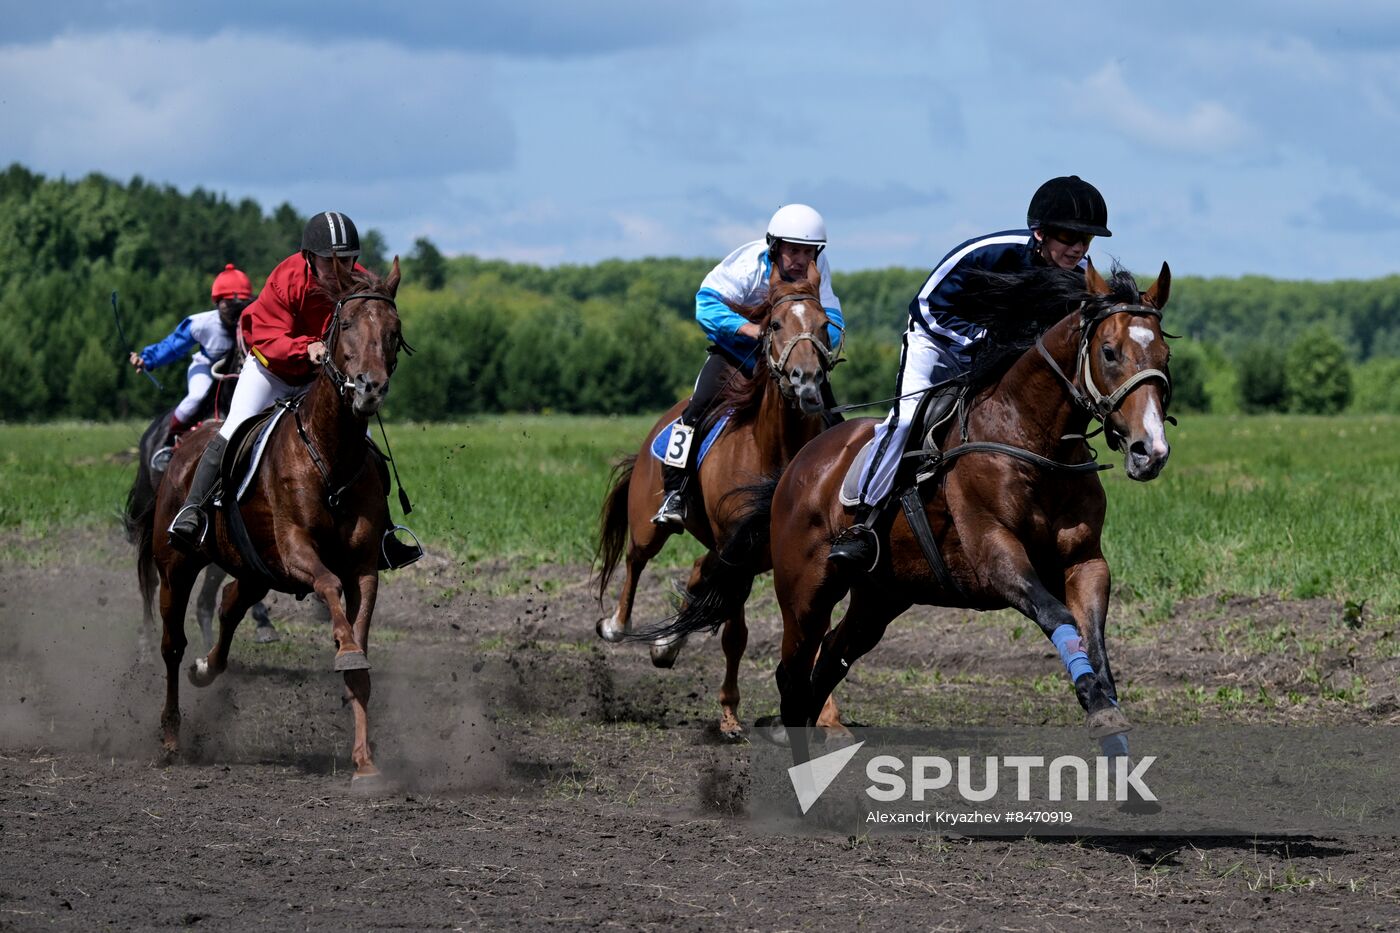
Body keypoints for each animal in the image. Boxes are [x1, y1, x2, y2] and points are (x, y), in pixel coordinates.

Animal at [150, 259, 408, 784]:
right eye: (347, 325)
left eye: (393, 331)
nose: (369, 388)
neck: (330, 454)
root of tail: (186, 447)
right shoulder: (295, 549)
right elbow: (328, 585)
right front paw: (344, 648)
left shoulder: (365, 568)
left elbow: (359, 660)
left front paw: (365, 762)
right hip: (176, 565)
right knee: (172, 644)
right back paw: (170, 736)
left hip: (252, 569)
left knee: (229, 606)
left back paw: (206, 669)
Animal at [590, 257, 840, 739]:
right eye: (774, 323)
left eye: (824, 325)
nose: (806, 382)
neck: (773, 450)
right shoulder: (736, 553)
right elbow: (735, 635)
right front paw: (729, 715)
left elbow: (814, 635)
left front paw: (827, 716)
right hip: (652, 525)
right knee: (636, 560)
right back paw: (617, 626)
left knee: (696, 571)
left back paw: (666, 644)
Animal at [655, 256, 1170, 762]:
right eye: (1109, 352)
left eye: (1165, 356)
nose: (1151, 451)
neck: (1031, 441)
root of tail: (794, 468)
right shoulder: (996, 554)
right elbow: (1058, 617)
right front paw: (1101, 712)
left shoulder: (1086, 561)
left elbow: (1095, 643)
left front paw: (1110, 727)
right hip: (804, 591)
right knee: (793, 673)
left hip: (880, 597)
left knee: (829, 661)